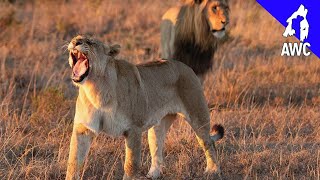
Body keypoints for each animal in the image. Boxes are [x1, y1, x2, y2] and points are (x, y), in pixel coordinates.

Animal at [66, 35, 224, 180]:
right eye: (75, 38)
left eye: (90, 42)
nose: (74, 42)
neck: (95, 88)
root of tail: (185, 66)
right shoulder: (83, 129)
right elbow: (73, 161)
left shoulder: (133, 129)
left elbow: (131, 165)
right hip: (157, 126)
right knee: (157, 150)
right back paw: (153, 174)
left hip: (197, 115)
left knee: (208, 142)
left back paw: (213, 171)